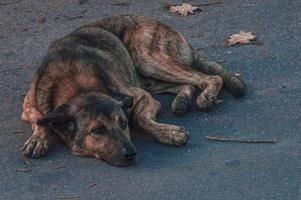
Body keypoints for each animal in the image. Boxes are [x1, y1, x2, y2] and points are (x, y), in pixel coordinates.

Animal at [21, 14, 246, 166]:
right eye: (97, 130)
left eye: (123, 123)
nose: (130, 154)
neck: (77, 86)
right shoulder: (27, 106)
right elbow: (39, 119)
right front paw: (38, 138)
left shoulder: (141, 97)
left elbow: (140, 119)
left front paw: (168, 134)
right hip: (148, 77)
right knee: (188, 83)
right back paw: (182, 100)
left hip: (147, 59)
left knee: (208, 78)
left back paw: (206, 95)